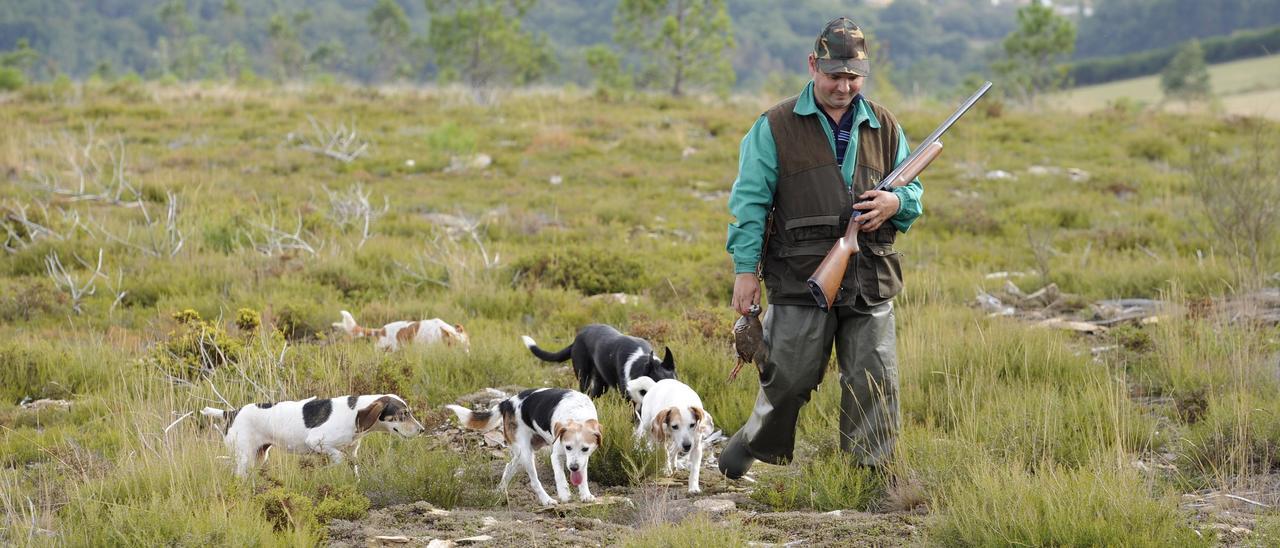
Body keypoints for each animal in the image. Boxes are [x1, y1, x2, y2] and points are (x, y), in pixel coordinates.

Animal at [197, 394, 422, 476]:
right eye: (404, 414)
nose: (422, 430)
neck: (356, 412)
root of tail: (231, 412)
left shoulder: (353, 452)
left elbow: (353, 468)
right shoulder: (317, 441)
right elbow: (338, 458)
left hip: (259, 456)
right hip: (246, 458)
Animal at [448, 386, 601, 507]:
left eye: (585, 449)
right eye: (568, 447)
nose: (573, 467)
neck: (578, 415)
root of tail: (507, 402)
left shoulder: (583, 459)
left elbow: (583, 477)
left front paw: (585, 495)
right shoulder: (557, 455)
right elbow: (560, 476)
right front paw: (564, 494)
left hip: (521, 453)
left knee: (508, 467)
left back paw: (499, 491)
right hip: (526, 454)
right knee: (534, 482)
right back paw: (547, 500)